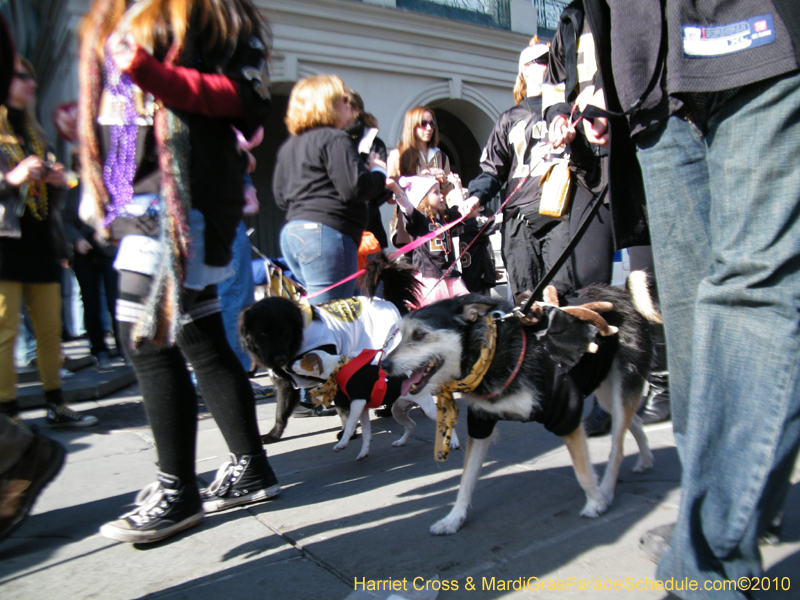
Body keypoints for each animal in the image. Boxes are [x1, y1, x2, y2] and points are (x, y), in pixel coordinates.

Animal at [239, 254, 456, 460]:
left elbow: (345, 412)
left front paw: (346, 435)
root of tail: (390, 303)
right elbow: (281, 412)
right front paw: (273, 435)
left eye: (285, 332)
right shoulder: (285, 382)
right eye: (262, 334)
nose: (279, 359)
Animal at [384, 272, 660, 536]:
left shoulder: (566, 414)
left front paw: (595, 502)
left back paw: (607, 490)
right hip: (604, 389)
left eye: (419, 334)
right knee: (633, 420)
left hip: (620, 385)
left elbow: (582, 471)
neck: (492, 354)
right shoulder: (480, 423)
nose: (384, 365)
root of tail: (620, 293)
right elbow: (466, 480)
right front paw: (453, 519)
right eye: (400, 334)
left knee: (618, 446)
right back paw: (645, 460)